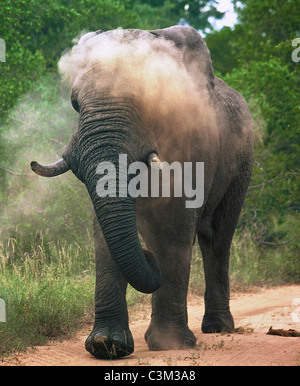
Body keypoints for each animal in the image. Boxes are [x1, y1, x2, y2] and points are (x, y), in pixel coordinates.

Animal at [30, 26, 253, 358]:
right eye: (75, 104)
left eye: (148, 103)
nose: (148, 257)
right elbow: (103, 232)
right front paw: (106, 345)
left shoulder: (193, 142)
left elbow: (175, 225)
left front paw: (169, 344)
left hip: (242, 162)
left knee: (217, 236)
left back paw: (217, 327)